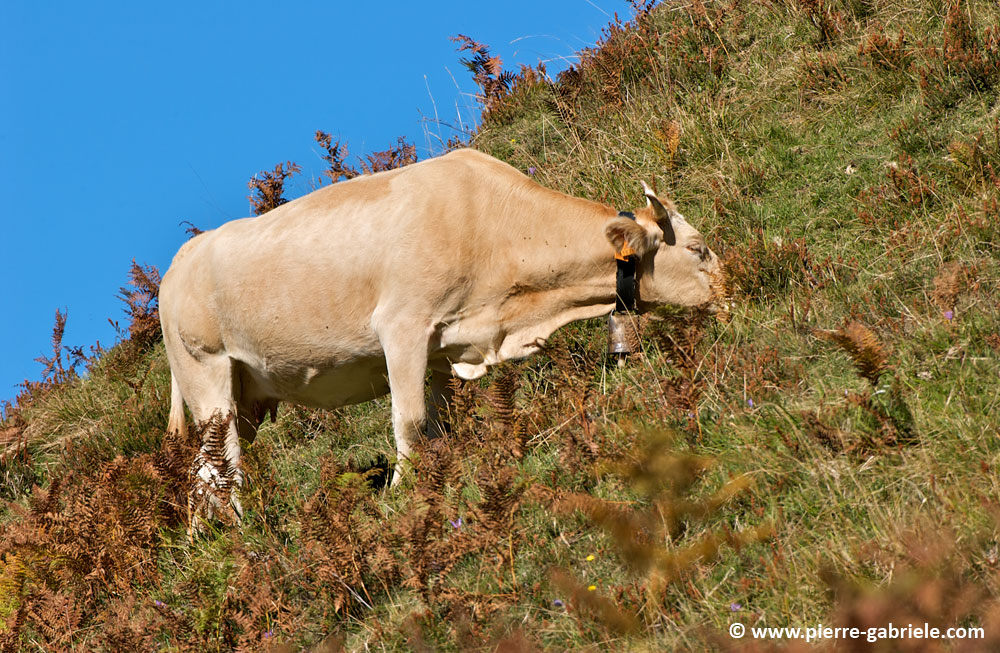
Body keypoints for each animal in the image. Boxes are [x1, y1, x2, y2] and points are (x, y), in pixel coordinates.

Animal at [159, 148, 723, 520]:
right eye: (698, 250)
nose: (729, 293)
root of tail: (176, 267)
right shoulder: (402, 327)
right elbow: (408, 424)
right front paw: (403, 499)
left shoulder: (443, 348)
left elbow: (438, 428)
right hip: (206, 372)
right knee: (220, 467)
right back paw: (239, 534)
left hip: (245, 392)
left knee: (204, 473)